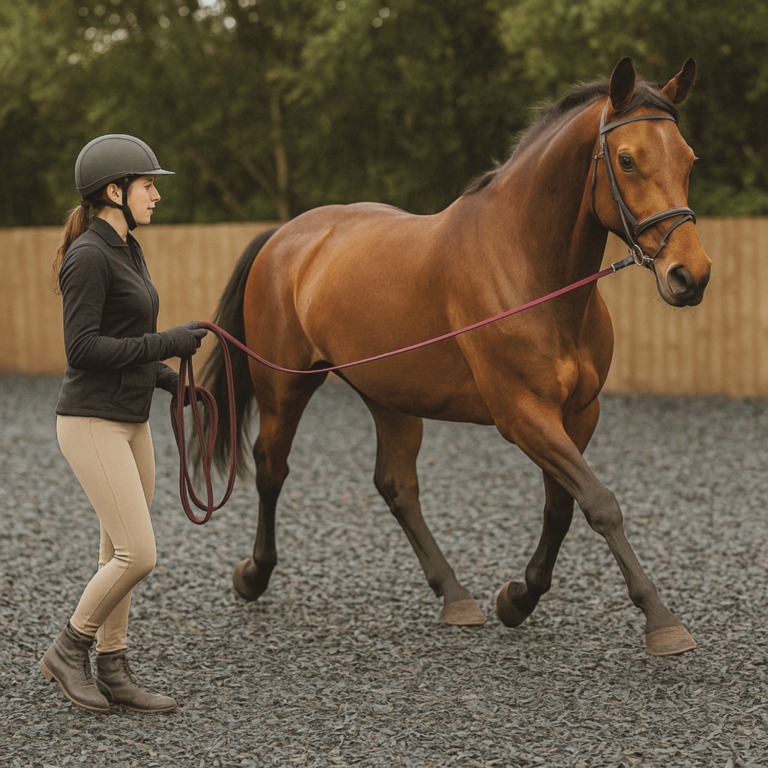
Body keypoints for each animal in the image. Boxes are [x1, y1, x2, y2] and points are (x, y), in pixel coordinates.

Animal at [200, 57, 711, 656]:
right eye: (627, 159)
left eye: (688, 159)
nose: (690, 276)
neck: (527, 267)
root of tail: (286, 235)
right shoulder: (523, 415)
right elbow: (600, 502)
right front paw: (661, 619)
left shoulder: (579, 414)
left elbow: (563, 507)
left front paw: (517, 599)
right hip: (286, 387)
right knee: (271, 467)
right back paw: (254, 574)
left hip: (390, 396)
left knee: (396, 485)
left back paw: (455, 594)